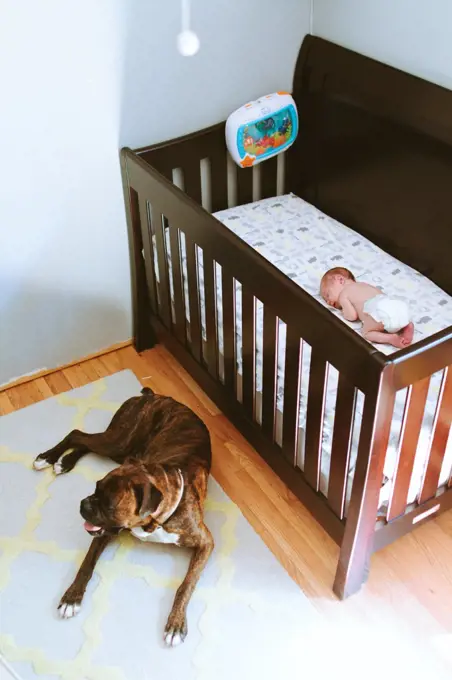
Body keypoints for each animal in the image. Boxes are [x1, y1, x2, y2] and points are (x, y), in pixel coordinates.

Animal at [33, 386, 214, 644]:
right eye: (95, 488)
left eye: (109, 505)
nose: (84, 504)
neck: (154, 522)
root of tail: (154, 394)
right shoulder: (103, 533)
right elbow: (87, 564)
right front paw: (71, 598)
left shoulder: (205, 542)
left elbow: (186, 584)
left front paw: (176, 623)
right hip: (120, 442)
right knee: (78, 435)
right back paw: (48, 458)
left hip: (122, 451)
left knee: (85, 442)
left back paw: (63, 462)